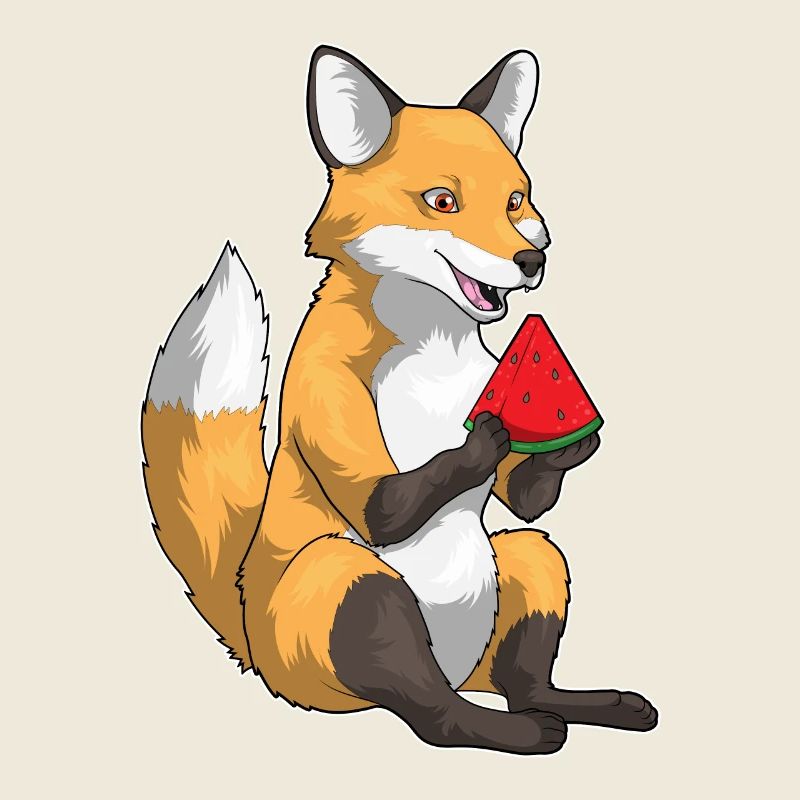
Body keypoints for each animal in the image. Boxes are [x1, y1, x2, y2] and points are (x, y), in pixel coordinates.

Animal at [142, 46, 657, 755]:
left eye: (516, 201)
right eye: (442, 200)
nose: (532, 259)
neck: (433, 346)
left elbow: (526, 497)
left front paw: (572, 444)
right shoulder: (327, 393)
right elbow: (390, 504)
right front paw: (484, 436)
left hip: (527, 567)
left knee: (522, 664)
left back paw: (581, 705)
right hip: (347, 585)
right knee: (431, 714)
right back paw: (512, 731)